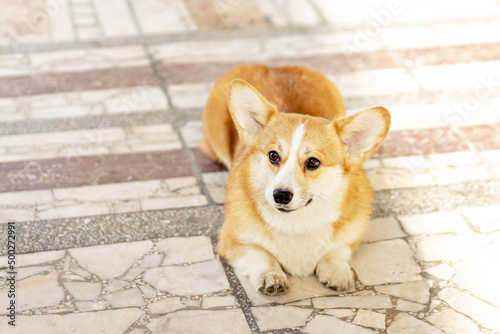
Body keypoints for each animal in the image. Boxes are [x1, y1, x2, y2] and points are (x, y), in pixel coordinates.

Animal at [200, 64, 390, 294]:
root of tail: (274, 66)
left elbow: (337, 251)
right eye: (273, 155)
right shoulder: (233, 240)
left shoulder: (350, 237)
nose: (281, 196)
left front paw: (337, 271)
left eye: (313, 162)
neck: (297, 223)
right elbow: (261, 254)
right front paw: (271, 275)